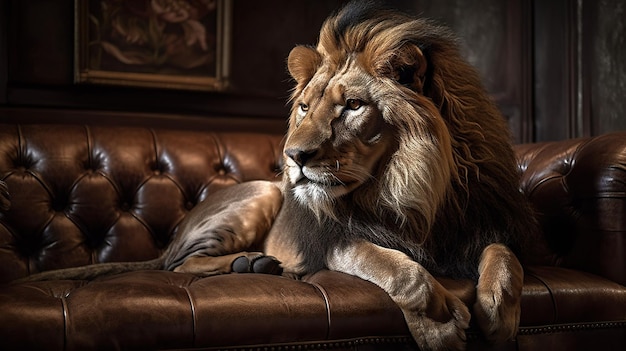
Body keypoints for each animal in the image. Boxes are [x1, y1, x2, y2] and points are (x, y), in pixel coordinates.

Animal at [14, 2, 532, 350]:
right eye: (304, 106)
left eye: (353, 106)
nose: (294, 157)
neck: (411, 187)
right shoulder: (335, 242)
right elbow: (404, 273)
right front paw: (442, 325)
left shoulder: (479, 225)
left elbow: (505, 258)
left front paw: (498, 316)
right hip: (262, 192)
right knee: (178, 265)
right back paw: (252, 264)